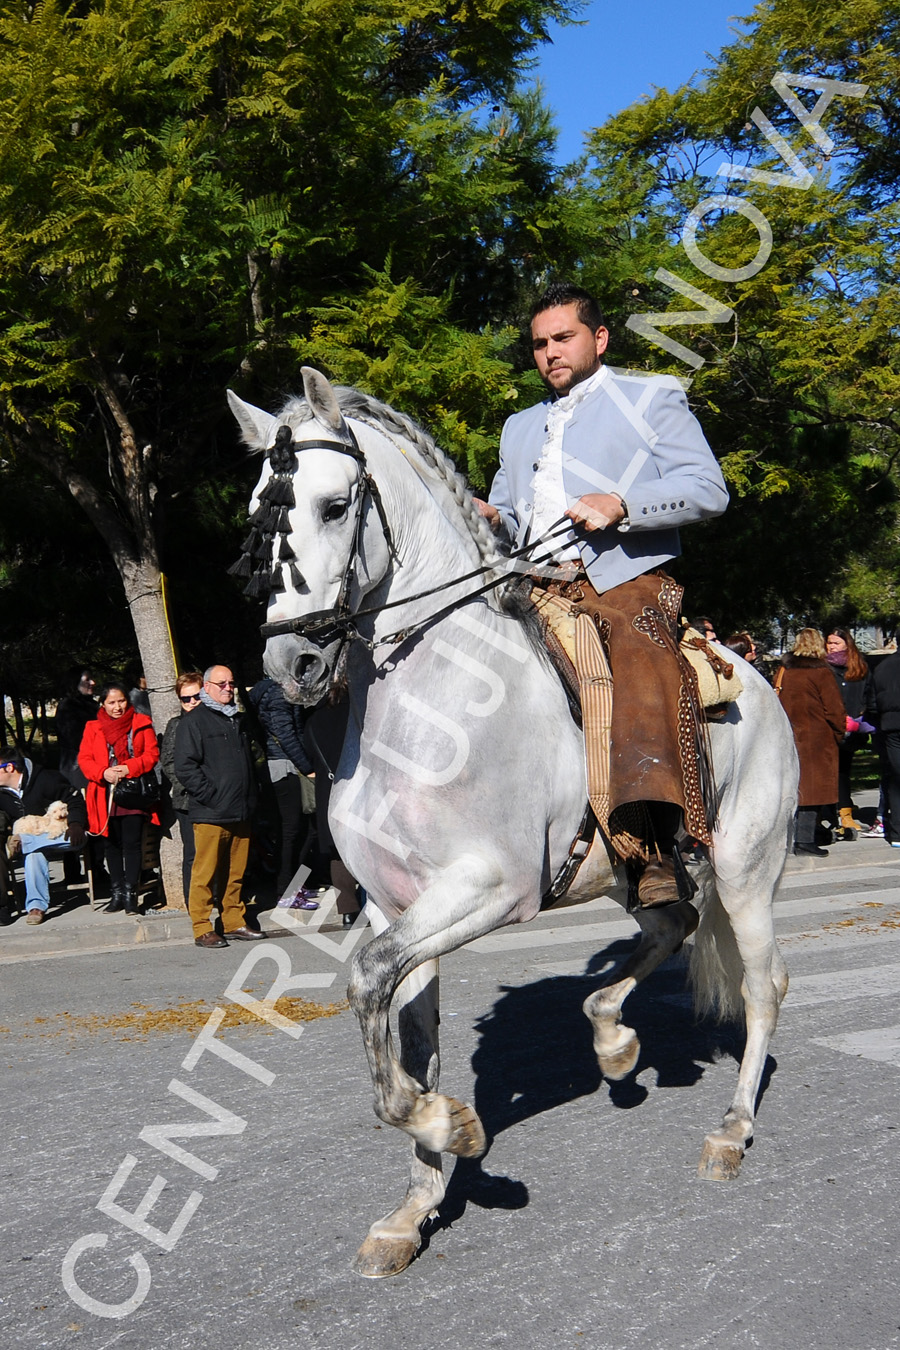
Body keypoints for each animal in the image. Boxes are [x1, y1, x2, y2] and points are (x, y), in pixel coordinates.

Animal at [229, 367, 798, 1274]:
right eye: (257, 510)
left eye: (334, 504)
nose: (293, 662)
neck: (430, 704)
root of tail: (753, 671)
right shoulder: (394, 904)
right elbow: (405, 1024)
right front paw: (416, 1202)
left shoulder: (490, 888)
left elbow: (367, 985)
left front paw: (448, 1125)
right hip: (632, 866)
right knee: (670, 923)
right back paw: (611, 1036)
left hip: (746, 867)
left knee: (762, 985)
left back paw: (731, 1131)